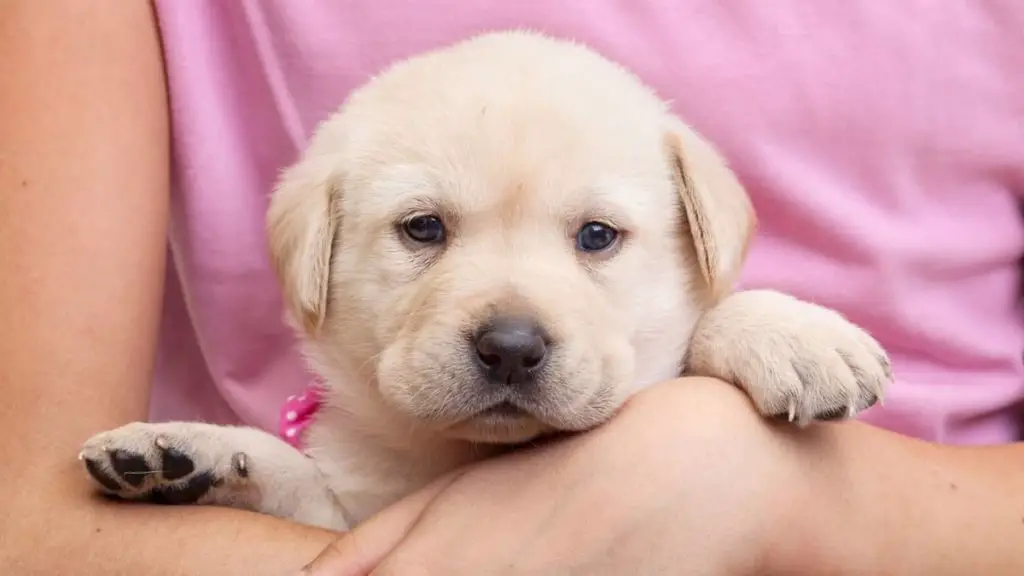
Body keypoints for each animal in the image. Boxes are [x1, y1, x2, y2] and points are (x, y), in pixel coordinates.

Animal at [77, 31, 888, 528]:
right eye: (423, 228)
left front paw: (793, 336)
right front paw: (191, 453)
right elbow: (295, 480)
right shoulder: (349, 519)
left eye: (598, 236)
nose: (511, 348)